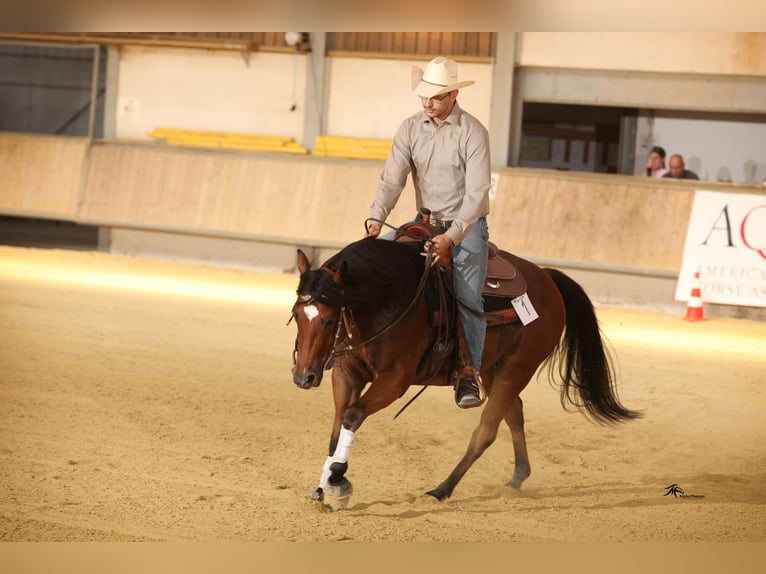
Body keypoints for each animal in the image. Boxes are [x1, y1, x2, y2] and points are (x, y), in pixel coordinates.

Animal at [292, 234, 640, 512]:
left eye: (328, 319)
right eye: (297, 314)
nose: (303, 377)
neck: (386, 298)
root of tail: (547, 278)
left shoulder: (395, 380)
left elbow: (352, 416)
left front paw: (338, 481)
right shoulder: (346, 373)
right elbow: (338, 427)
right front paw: (323, 486)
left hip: (518, 368)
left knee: (486, 431)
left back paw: (442, 490)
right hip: (493, 369)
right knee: (514, 413)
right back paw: (517, 478)